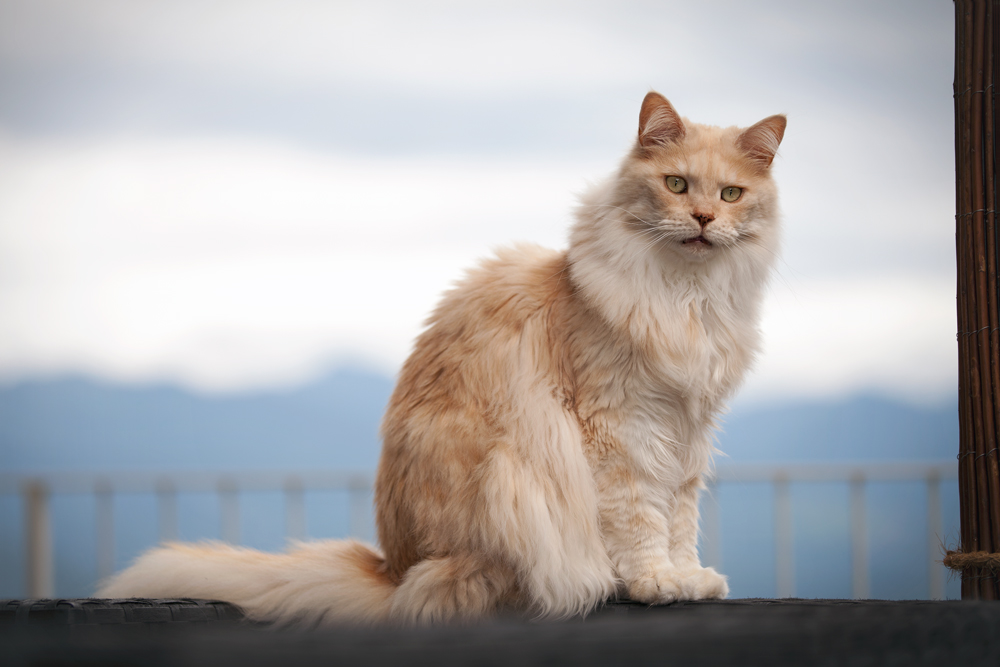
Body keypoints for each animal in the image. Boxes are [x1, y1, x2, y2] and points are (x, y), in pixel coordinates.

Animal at [101, 92, 788, 628]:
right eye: (675, 185)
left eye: (731, 194)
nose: (703, 218)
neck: (687, 300)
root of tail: (393, 569)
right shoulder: (619, 427)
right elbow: (640, 520)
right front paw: (654, 582)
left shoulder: (687, 430)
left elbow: (679, 518)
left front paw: (689, 577)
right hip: (513, 475)